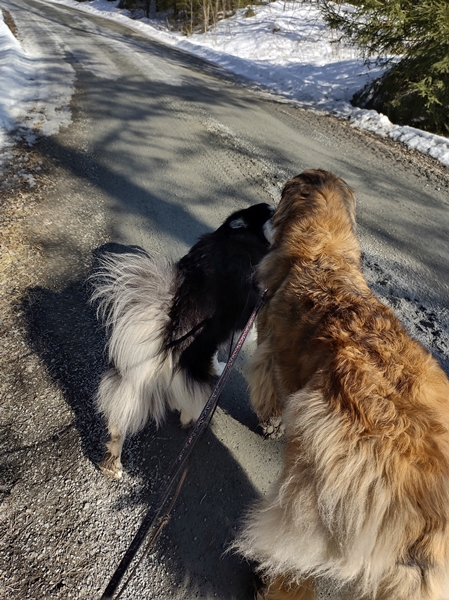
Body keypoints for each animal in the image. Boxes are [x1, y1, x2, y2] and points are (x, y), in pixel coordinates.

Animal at [91, 204, 272, 480]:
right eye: (272, 213)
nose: (276, 208)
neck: (240, 233)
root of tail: (172, 325)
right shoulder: (240, 323)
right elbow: (222, 351)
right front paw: (220, 367)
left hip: (131, 381)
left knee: (119, 419)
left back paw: (112, 465)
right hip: (191, 375)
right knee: (192, 401)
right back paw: (191, 420)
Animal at [234, 170, 448, 600]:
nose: (266, 211)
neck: (323, 250)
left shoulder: (268, 349)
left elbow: (266, 389)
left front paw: (269, 424)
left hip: (313, 487)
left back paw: (268, 579)